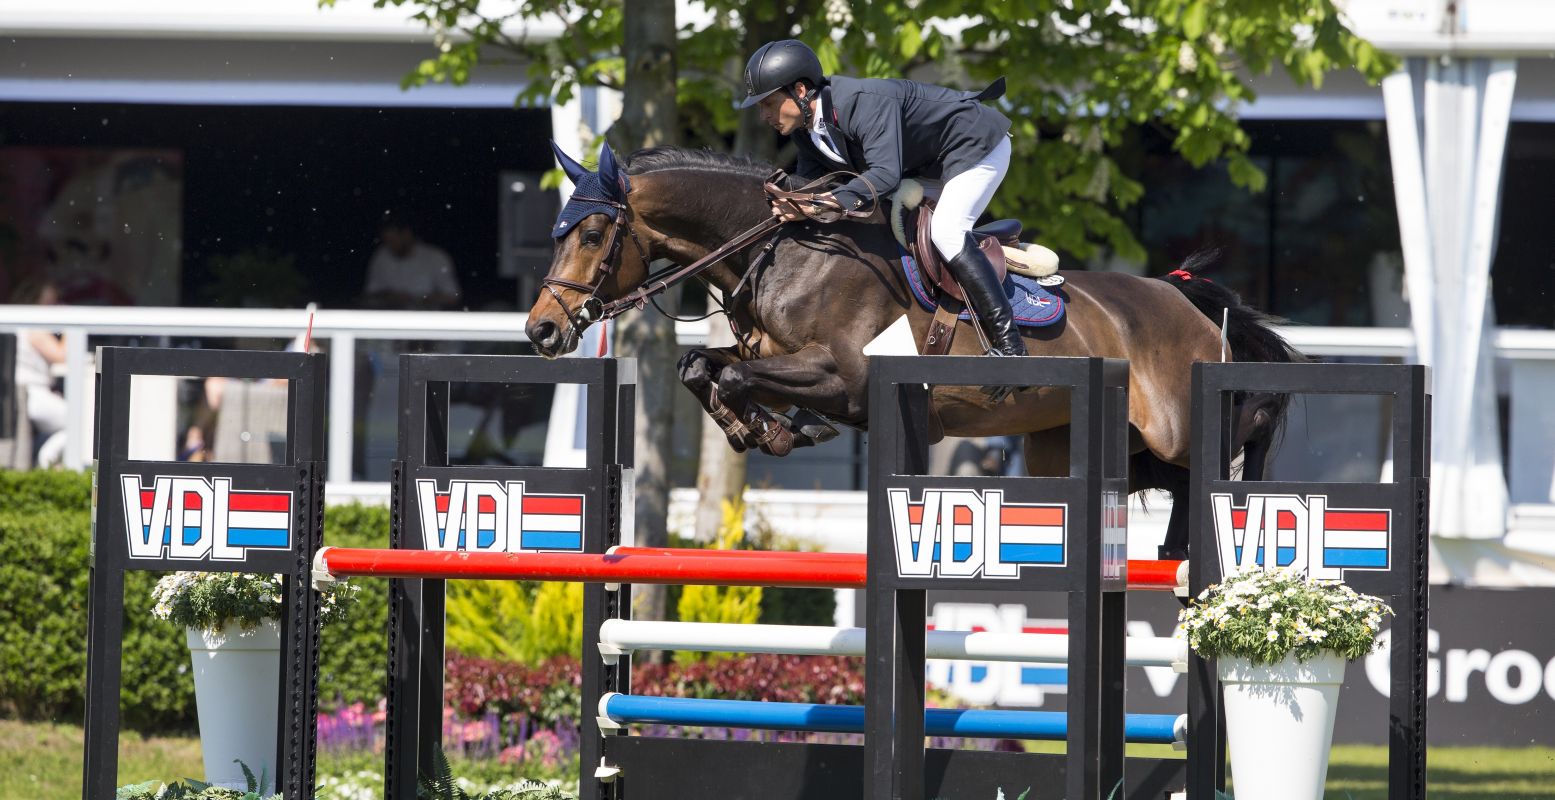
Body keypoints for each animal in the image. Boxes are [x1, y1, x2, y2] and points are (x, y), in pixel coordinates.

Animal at [522, 141, 1299, 554]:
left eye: (592, 234)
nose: (542, 331)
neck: (785, 253)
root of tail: (1177, 295)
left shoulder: (845, 379)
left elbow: (741, 379)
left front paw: (775, 429)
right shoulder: (770, 358)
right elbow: (701, 366)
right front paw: (761, 428)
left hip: (1173, 424)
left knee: (1236, 435)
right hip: (1078, 445)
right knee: (1176, 483)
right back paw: (1172, 548)